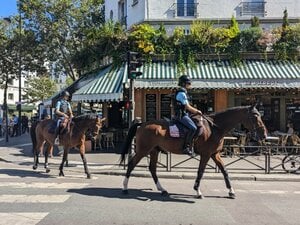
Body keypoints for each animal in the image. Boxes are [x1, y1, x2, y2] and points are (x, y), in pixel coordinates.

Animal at [119, 104, 268, 198]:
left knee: (152, 169)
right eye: (255, 116)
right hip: (143, 150)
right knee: (131, 164)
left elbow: (225, 171)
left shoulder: (215, 154)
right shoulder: (206, 154)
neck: (215, 127)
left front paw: (231, 191)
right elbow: (200, 172)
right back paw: (125, 188)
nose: (264, 135)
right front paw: (198, 191)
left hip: (154, 151)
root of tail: (142, 123)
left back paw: (162, 190)